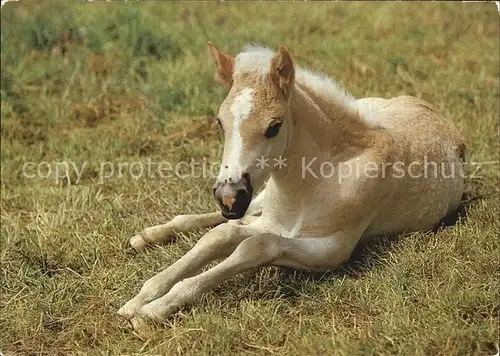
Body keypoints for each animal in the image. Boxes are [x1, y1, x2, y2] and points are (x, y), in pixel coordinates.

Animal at [118, 43, 464, 330]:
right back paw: (149, 235)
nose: (229, 197)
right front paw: (140, 299)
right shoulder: (268, 220)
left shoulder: (332, 250)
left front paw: (153, 309)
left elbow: (255, 245)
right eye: (219, 122)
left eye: (274, 126)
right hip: (260, 196)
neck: (311, 185)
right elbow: (220, 235)